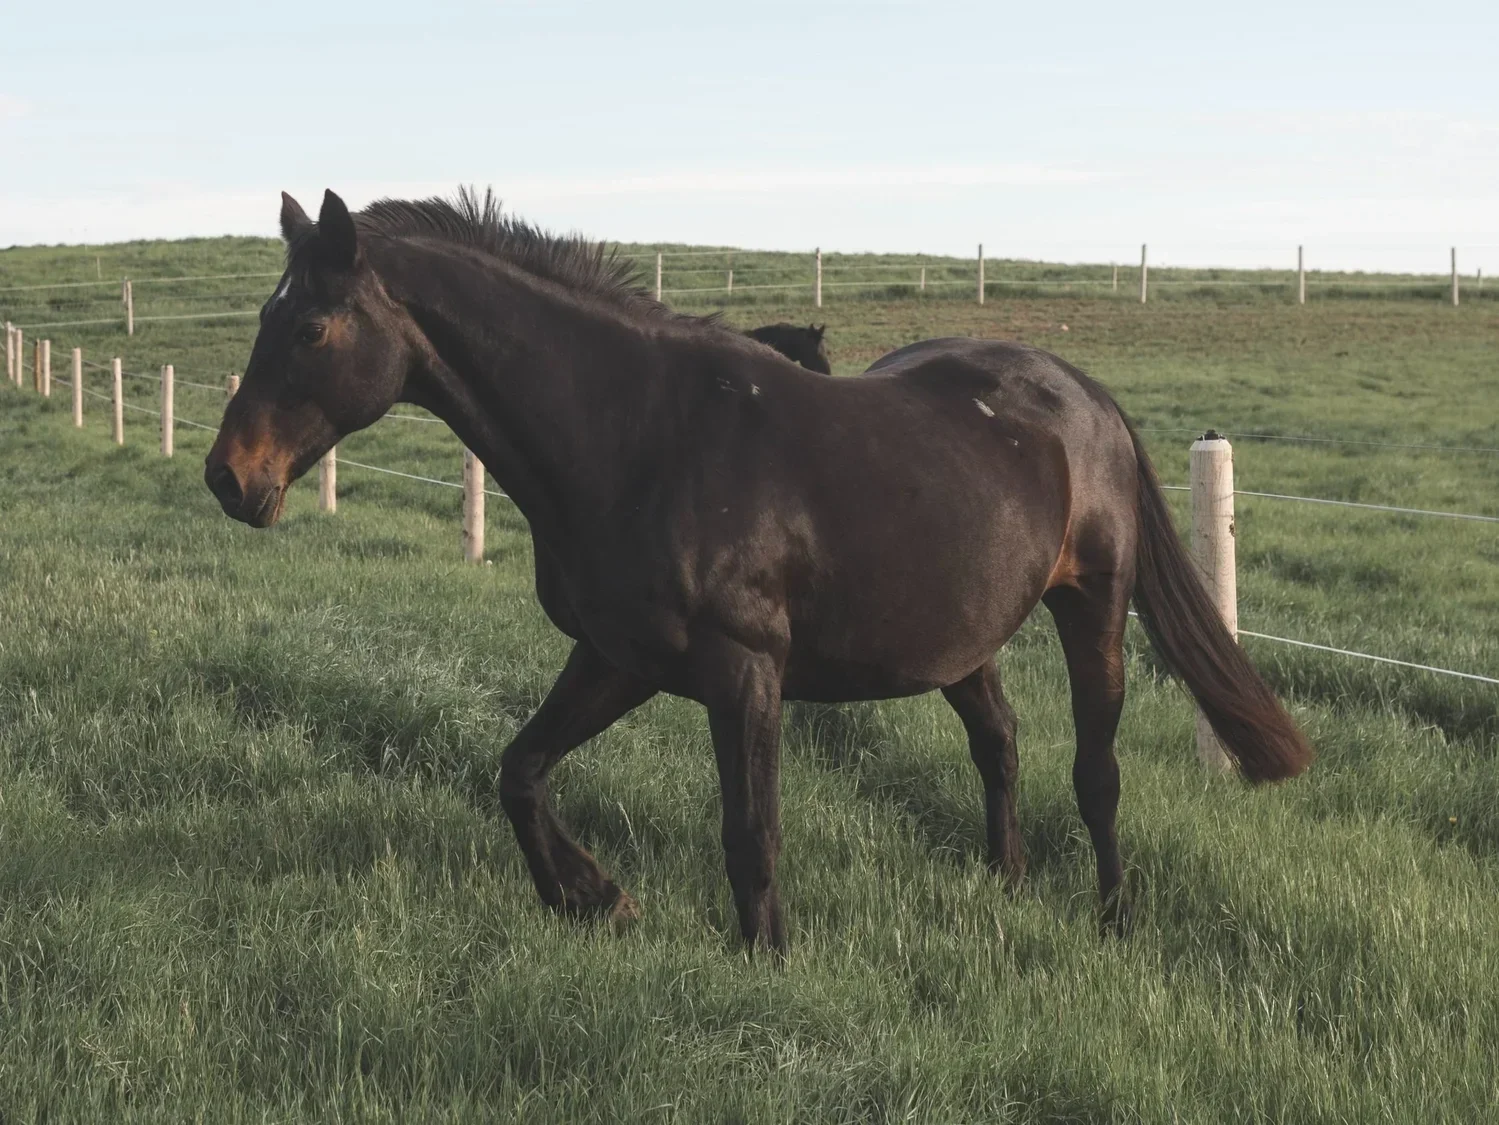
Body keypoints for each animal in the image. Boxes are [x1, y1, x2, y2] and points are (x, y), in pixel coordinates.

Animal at [205, 188, 1312, 954]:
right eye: (262, 318)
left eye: (310, 327)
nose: (228, 477)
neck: (638, 435)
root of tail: (1083, 394)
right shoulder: (619, 657)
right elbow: (518, 771)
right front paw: (593, 897)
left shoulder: (743, 671)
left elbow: (750, 829)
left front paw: (766, 958)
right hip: (961, 635)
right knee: (998, 743)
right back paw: (1005, 882)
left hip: (1093, 605)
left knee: (1095, 770)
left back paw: (1111, 917)